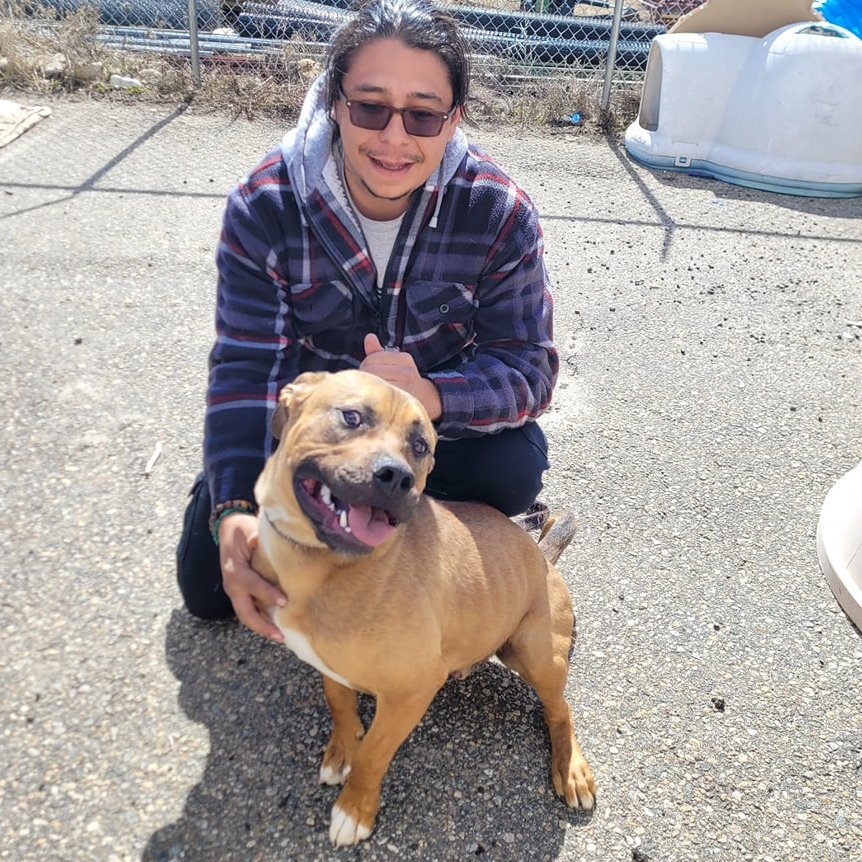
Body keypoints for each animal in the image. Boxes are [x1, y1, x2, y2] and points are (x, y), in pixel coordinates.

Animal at [253, 370, 596, 844]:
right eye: (351, 417)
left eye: (420, 446)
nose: (396, 477)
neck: (323, 567)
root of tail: (542, 556)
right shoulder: (328, 663)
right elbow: (338, 702)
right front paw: (342, 749)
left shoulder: (411, 692)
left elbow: (374, 754)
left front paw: (355, 808)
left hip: (535, 653)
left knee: (560, 709)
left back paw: (571, 768)